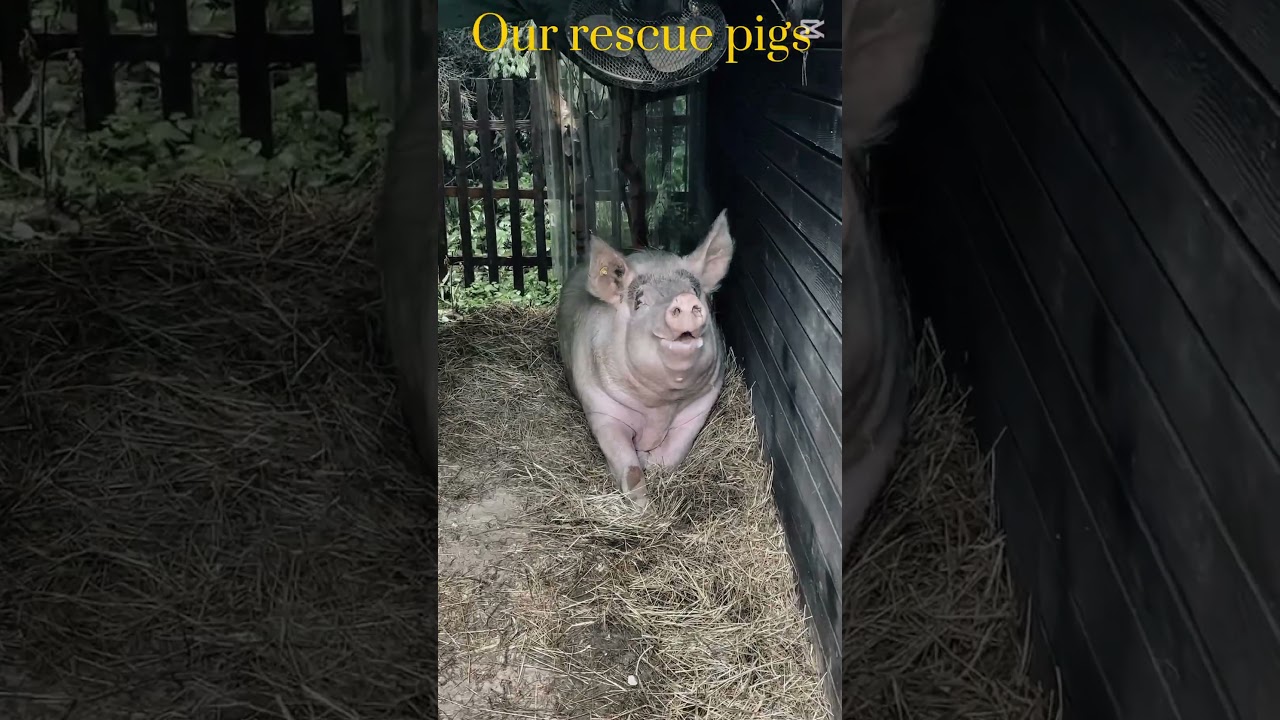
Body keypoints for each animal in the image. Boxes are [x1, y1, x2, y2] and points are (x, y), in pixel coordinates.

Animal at [557, 211, 735, 509]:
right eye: (640, 301)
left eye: (695, 291)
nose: (683, 299)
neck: (660, 407)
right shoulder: (601, 407)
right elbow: (627, 465)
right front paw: (643, 506)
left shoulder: (699, 406)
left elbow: (671, 456)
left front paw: (652, 464)